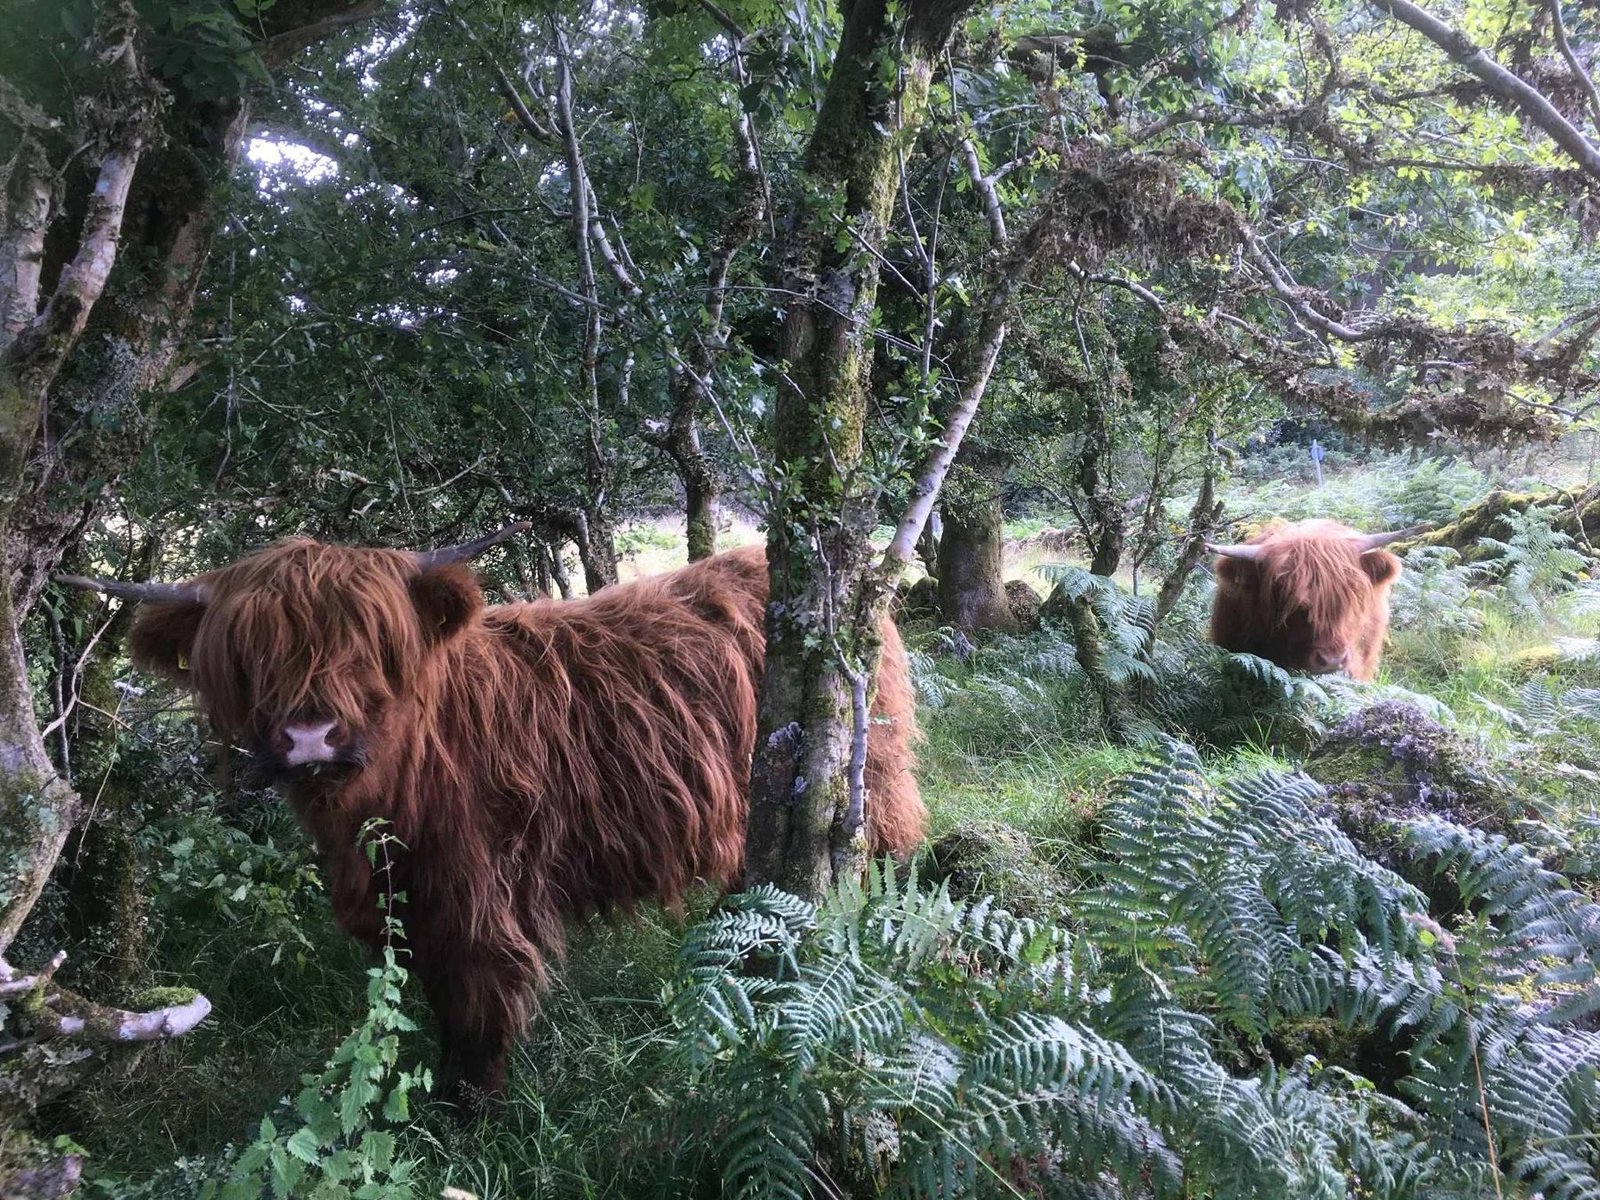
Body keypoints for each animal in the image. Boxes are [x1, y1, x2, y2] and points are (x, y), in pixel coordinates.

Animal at [60, 530, 926, 1109]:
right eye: (248, 653)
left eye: (372, 642)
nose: (310, 735)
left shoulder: (475, 891)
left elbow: (476, 1003)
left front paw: (464, 1109)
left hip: (868, 779)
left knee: (883, 855)